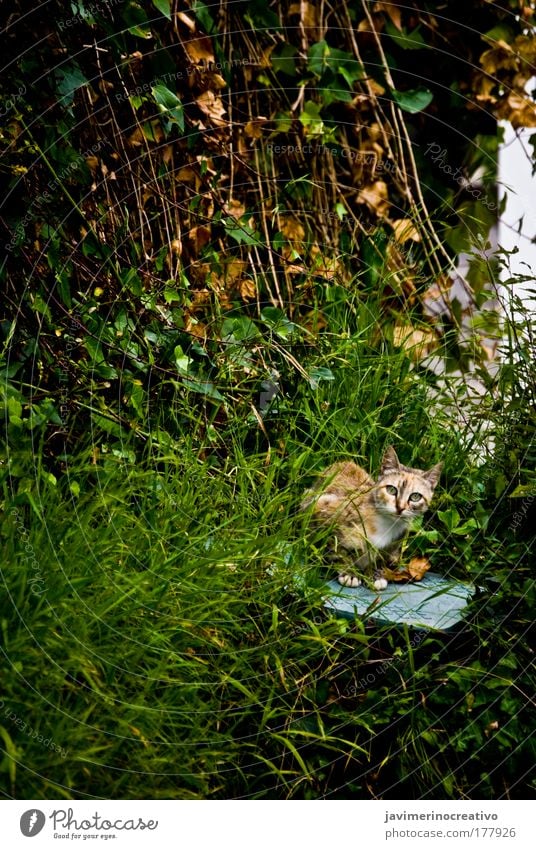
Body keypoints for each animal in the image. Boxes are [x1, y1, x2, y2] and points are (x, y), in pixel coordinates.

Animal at [300, 448, 442, 592]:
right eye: (391, 489)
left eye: (415, 496)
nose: (400, 507)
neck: (385, 524)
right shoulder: (323, 508)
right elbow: (337, 549)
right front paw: (350, 573)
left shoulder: (394, 543)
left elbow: (379, 559)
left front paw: (375, 576)